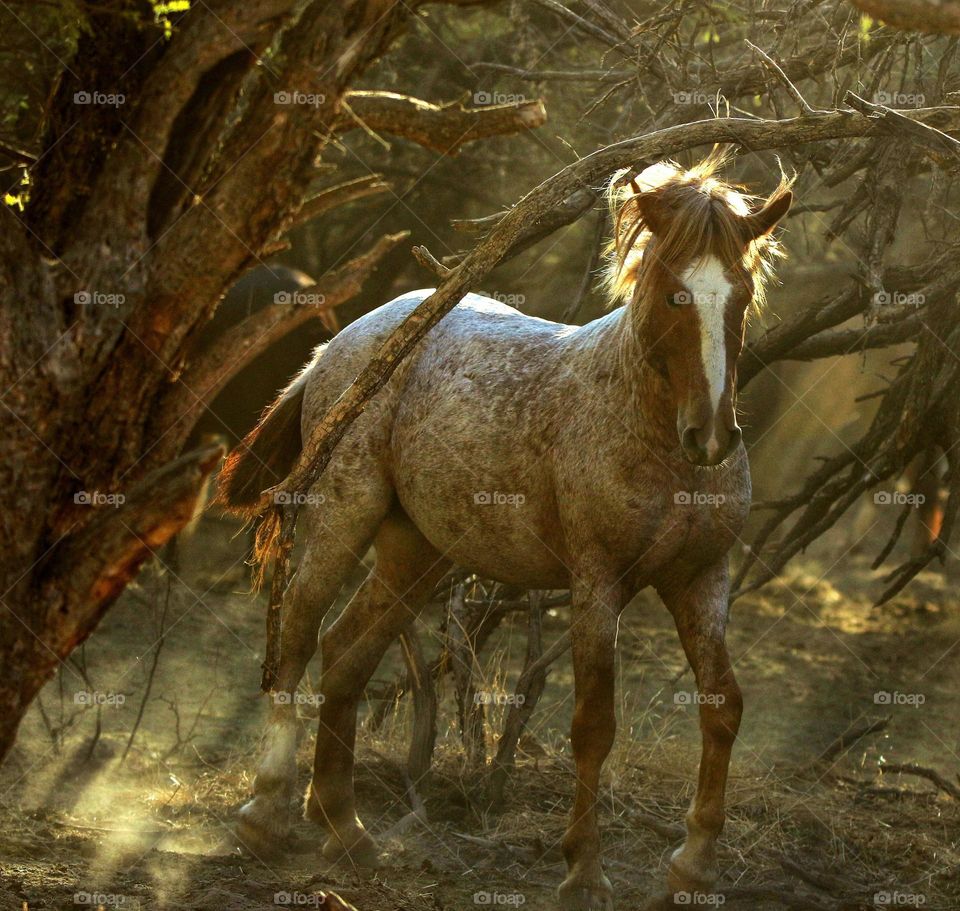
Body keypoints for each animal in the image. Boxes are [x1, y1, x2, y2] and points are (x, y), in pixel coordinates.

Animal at [216, 154, 792, 910]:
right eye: (674, 295)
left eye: (741, 295)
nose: (712, 436)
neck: (647, 429)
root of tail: (343, 342)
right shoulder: (597, 582)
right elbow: (593, 724)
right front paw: (583, 871)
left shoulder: (700, 579)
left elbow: (723, 707)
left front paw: (692, 867)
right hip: (345, 515)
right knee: (298, 636)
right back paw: (266, 813)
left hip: (418, 552)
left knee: (345, 652)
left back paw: (345, 827)